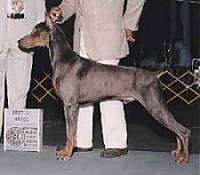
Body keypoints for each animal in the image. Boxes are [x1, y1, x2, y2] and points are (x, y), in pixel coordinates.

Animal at [18, 16, 191, 164]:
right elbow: (72, 132)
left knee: (183, 131)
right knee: (175, 130)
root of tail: (154, 74)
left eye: (34, 31)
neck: (63, 59)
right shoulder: (73, 106)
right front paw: (68, 150)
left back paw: (184, 158)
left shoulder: (70, 105)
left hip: (154, 105)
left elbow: (70, 132)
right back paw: (178, 152)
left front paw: (67, 154)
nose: (18, 41)